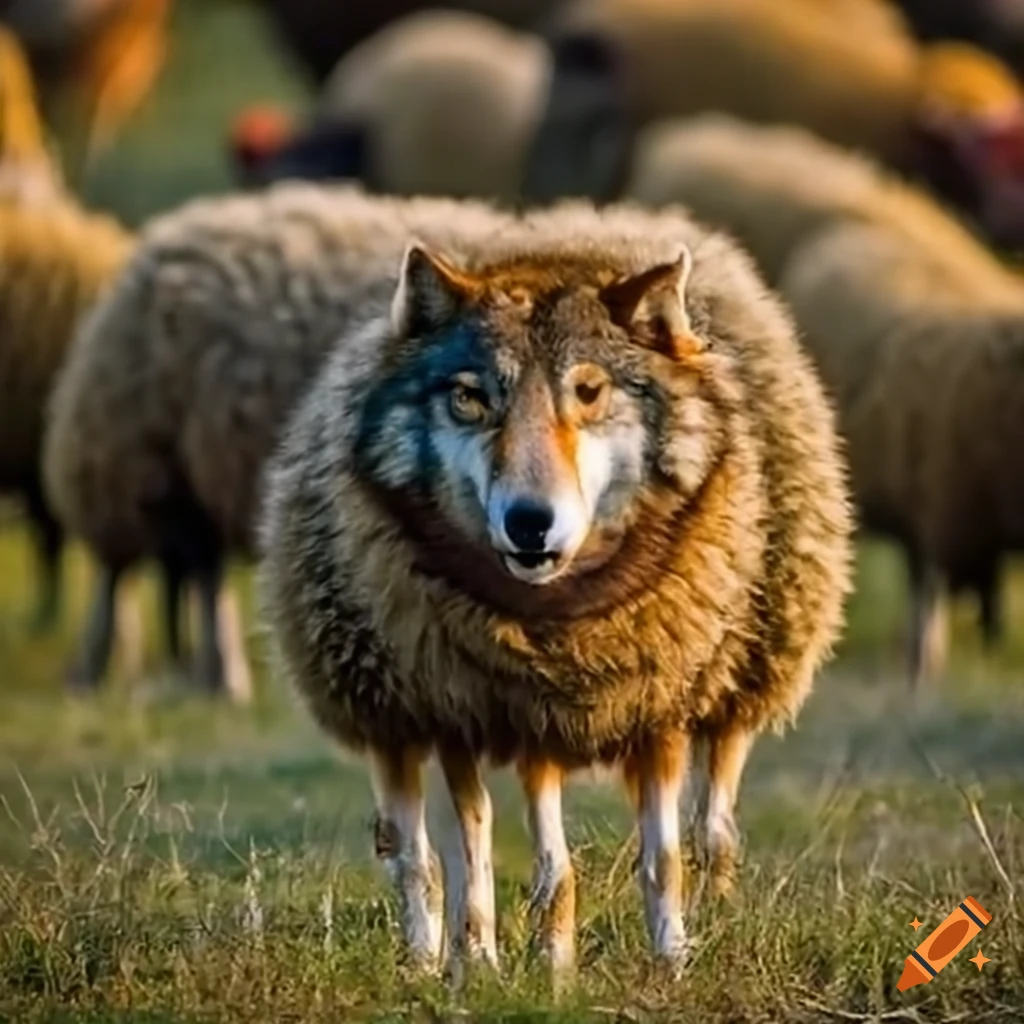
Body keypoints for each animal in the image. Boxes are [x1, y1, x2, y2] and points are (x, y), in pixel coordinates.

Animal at [44, 182, 516, 694]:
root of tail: (168, 231)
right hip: (134, 455)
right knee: (122, 574)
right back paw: (97, 674)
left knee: (200, 574)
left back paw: (217, 679)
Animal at [257, 201, 853, 979]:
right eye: (472, 398)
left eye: (588, 391)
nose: (529, 522)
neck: (563, 629)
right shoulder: (482, 715)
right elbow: (500, 862)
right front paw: (514, 966)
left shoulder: (654, 712)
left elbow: (658, 860)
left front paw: (669, 963)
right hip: (410, 713)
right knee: (431, 849)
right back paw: (446, 960)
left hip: (743, 679)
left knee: (712, 821)